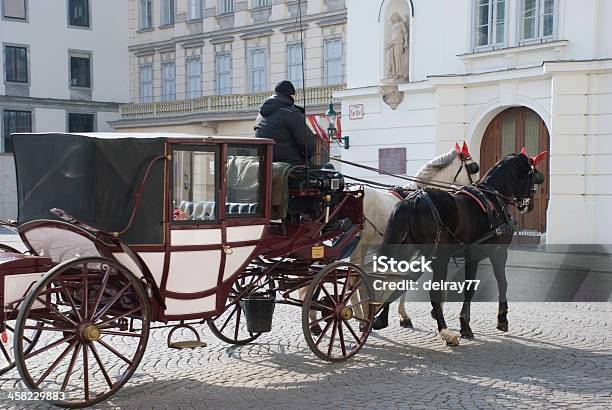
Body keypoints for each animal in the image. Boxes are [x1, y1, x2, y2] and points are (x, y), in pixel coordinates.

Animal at [372, 149, 544, 344]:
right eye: (534, 175)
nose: (529, 205)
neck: (493, 198)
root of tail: (414, 200)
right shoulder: (494, 254)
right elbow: (493, 284)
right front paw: (491, 320)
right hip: (439, 259)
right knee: (428, 291)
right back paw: (445, 331)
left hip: (408, 252)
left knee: (393, 280)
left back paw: (381, 319)